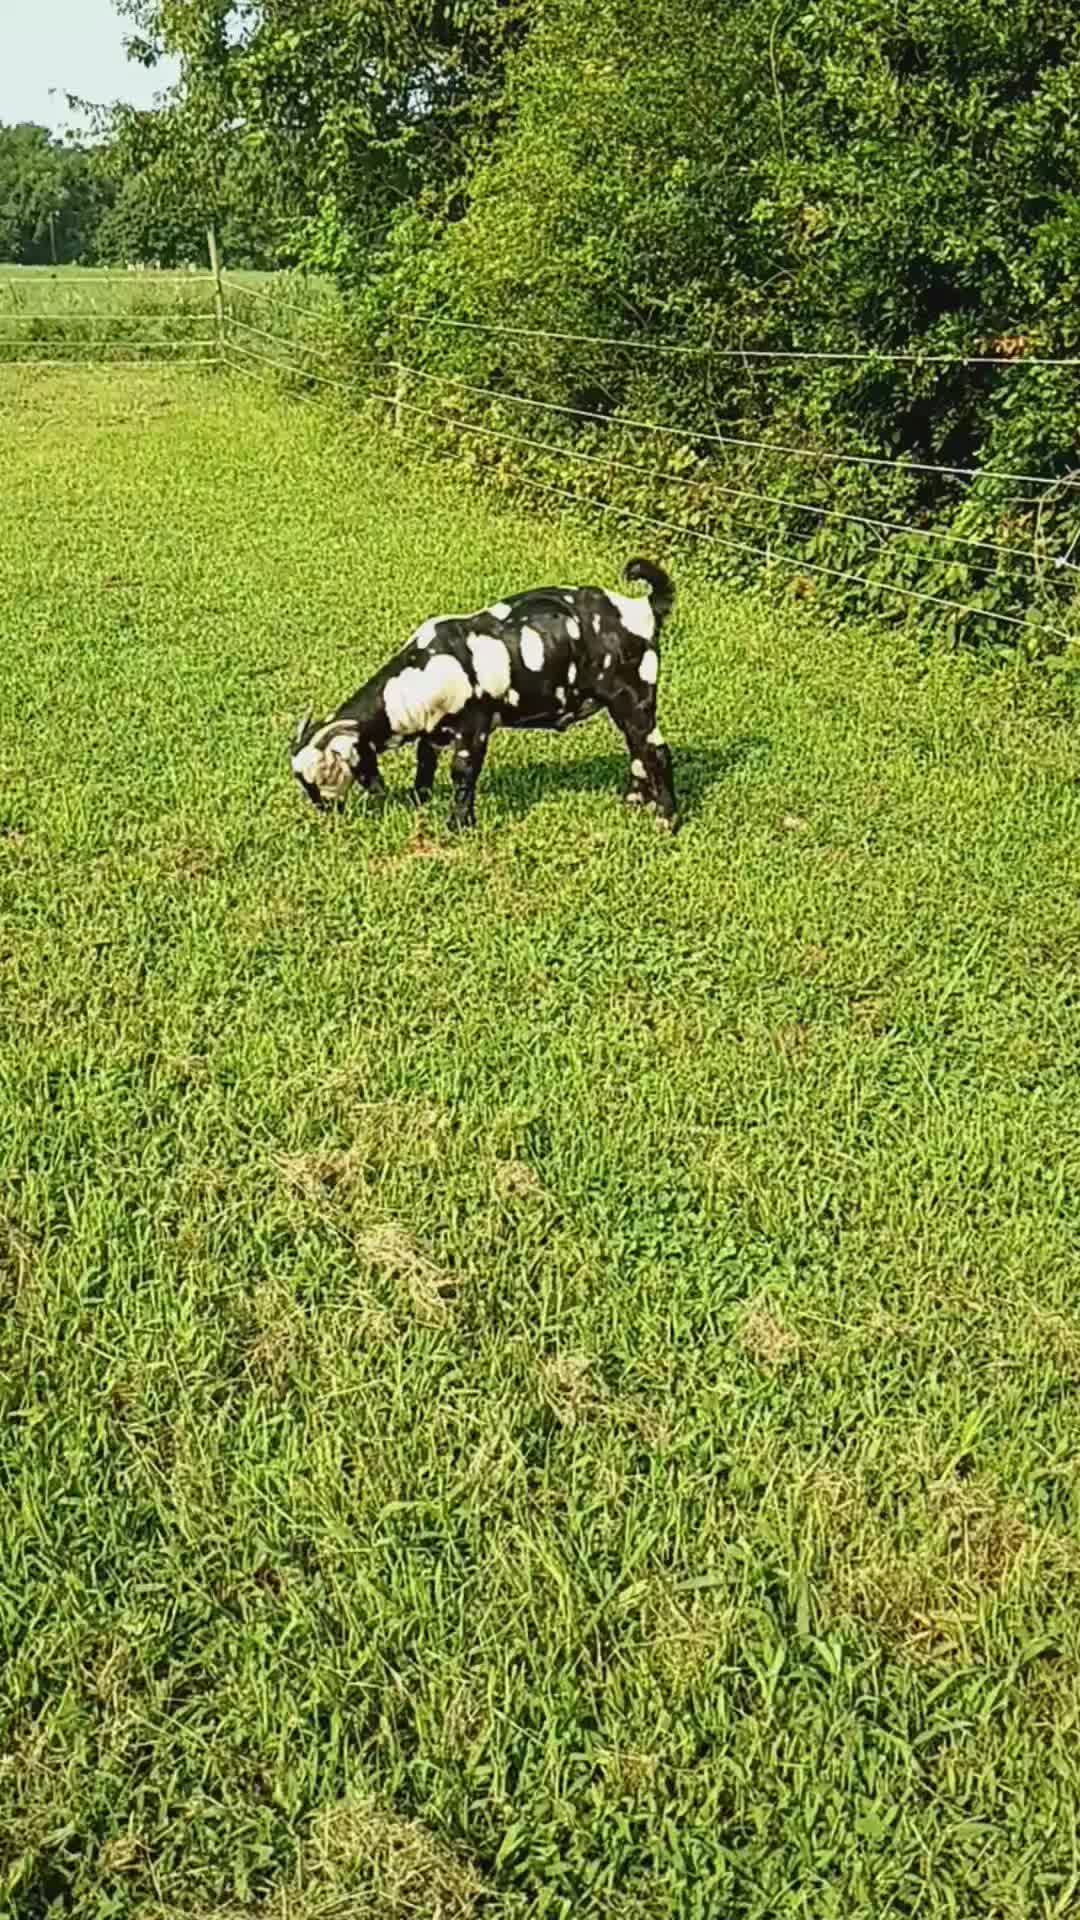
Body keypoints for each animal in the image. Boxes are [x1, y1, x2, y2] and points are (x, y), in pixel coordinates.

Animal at [290, 557, 678, 832]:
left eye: (319, 777)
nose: (324, 812)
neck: (419, 672)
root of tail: (642, 609)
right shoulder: (434, 728)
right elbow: (424, 761)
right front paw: (419, 799)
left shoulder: (473, 726)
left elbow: (463, 771)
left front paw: (459, 825)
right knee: (637, 748)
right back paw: (633, 800)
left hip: (634, 696)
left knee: (656, 751)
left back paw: (666, 819)